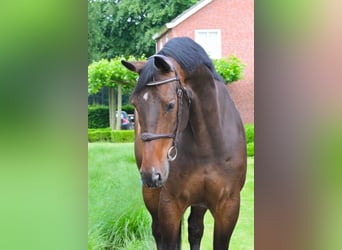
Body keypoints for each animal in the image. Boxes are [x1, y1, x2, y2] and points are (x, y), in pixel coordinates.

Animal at [121, 37, 247, 250]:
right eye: (135, 104)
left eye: (171, 105)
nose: (151, 174)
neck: (207, 147)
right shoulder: (170, 205)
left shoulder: (228, 207)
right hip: (151, 195)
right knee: (157, 232)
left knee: (195, 229)